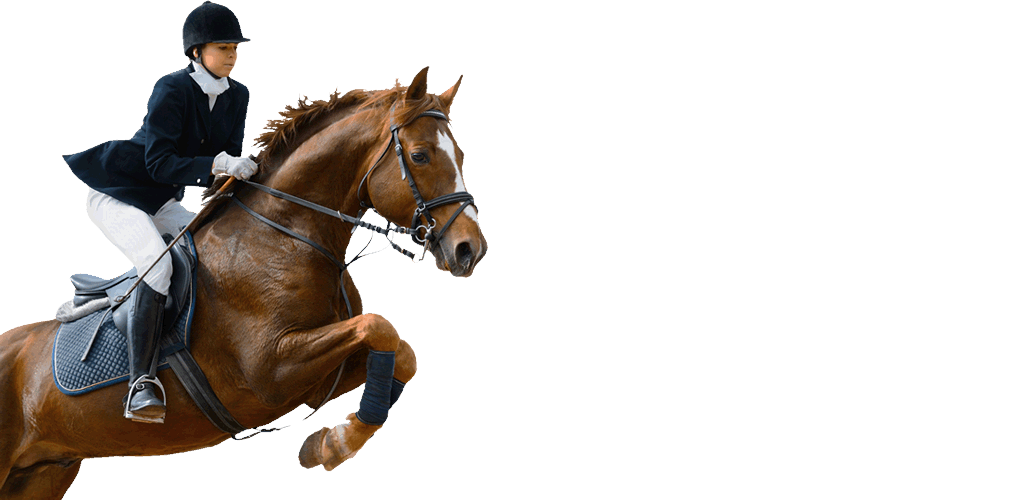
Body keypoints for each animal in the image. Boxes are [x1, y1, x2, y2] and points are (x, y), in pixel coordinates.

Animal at [0, 66, 486, 499]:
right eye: (420, 155)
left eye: (461, 157)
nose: (470, 250)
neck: (286, 233)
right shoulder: (271, 370)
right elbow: (380, 327)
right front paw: (335, 444)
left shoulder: (319, 379)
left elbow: (402, 353)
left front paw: (328, 444)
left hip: (42, 473)